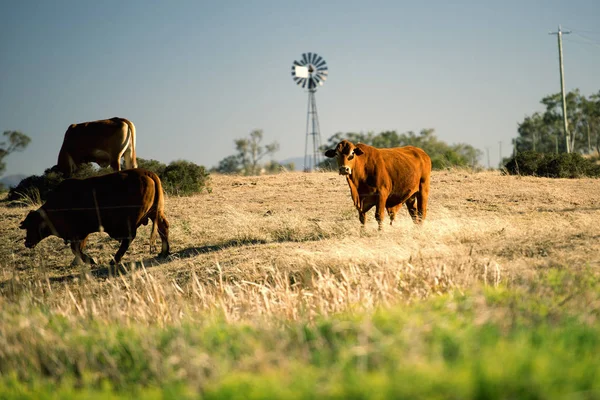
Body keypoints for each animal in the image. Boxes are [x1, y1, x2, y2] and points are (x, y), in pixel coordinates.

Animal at [19, 169, 169, 266]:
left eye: (32, 225)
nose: (27, 243)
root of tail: (146, 173)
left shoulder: (79, 232)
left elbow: (76, 249)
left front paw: (90, 260)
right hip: (155, 213)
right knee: (163, 227)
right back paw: (164, 252)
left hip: (132, 220)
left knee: (129, 238)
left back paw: (115, 260)